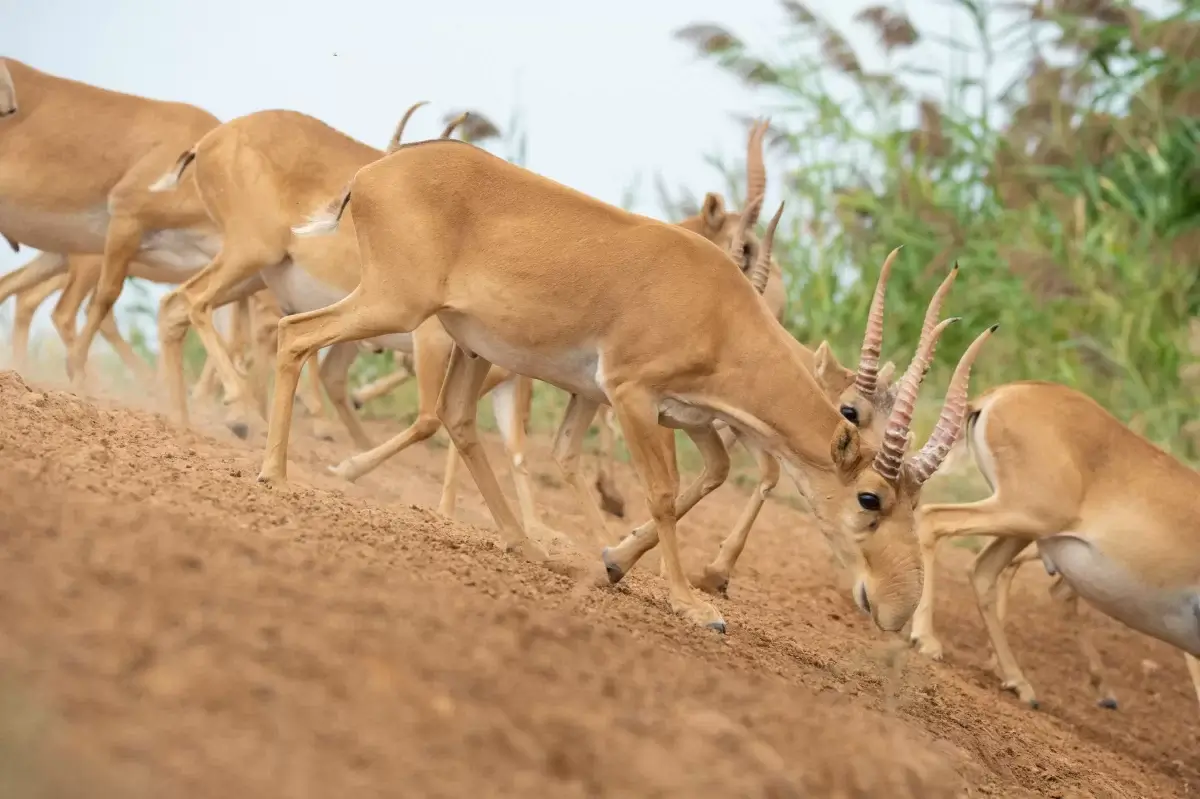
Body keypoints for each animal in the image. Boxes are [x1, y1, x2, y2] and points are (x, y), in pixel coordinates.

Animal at [262, 136, 993, 633]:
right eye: (870, 497)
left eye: (914, 504)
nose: (897, 609)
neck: (718, 305)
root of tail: (371, 174)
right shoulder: (632, 394)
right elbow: (665, 494)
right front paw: (694, 604)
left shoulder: (686, 415)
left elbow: (709, 476)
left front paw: (614, 561)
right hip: (396, 304)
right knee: (295, 334)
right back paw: (277, 474)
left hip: (466, 341)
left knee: (458, 420)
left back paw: (528, 544)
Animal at [907, 379, 1200, 710]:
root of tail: (1004, 393)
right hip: (1025, 515)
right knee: (933, 519)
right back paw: (927, 640)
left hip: (1023, 525)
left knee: (984, 570)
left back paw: (1020, 682)